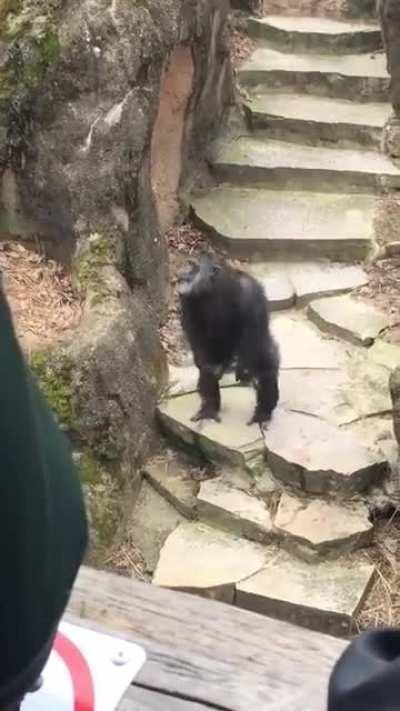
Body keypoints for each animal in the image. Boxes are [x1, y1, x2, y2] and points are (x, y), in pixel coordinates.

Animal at [177, 255, 280, 426]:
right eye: (191, 265)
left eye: (195, 268)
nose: (184, 273)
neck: (214, 289)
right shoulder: (187, 301)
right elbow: (195, 333)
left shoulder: (251, 294)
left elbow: (253, 334)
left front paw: (244, 371)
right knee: (207, 368)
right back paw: (209, 409)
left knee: (265, 367)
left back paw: (263, 413)